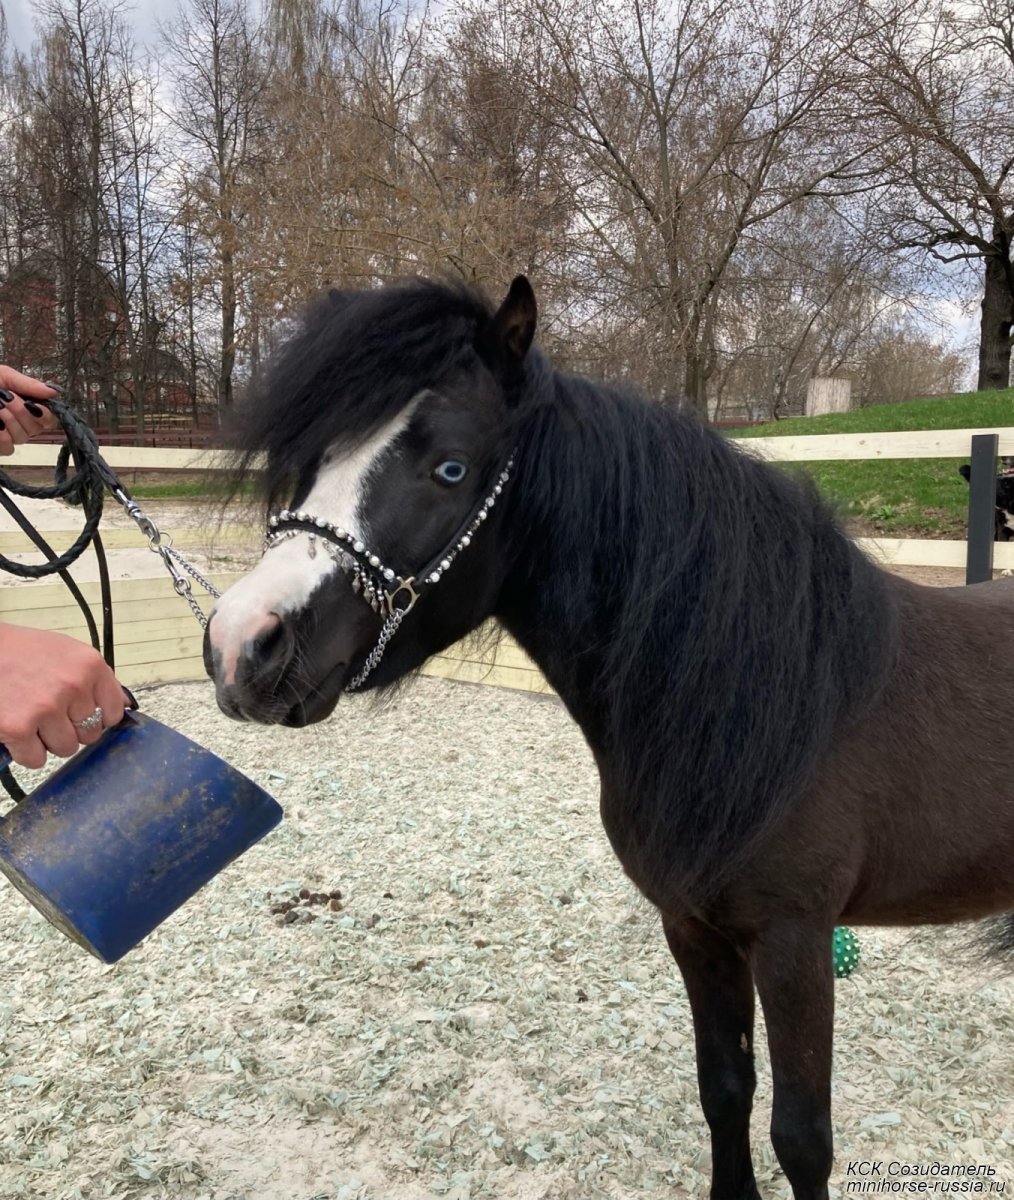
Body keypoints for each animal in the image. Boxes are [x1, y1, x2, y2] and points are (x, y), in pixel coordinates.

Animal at [204, 276, 1012, 1195]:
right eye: (317, 460)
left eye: (450, 468)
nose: (241, 645)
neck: (770, 699)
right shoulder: (693, 928)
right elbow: (724, 1090)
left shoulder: (796, 941)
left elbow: (802, 1138)